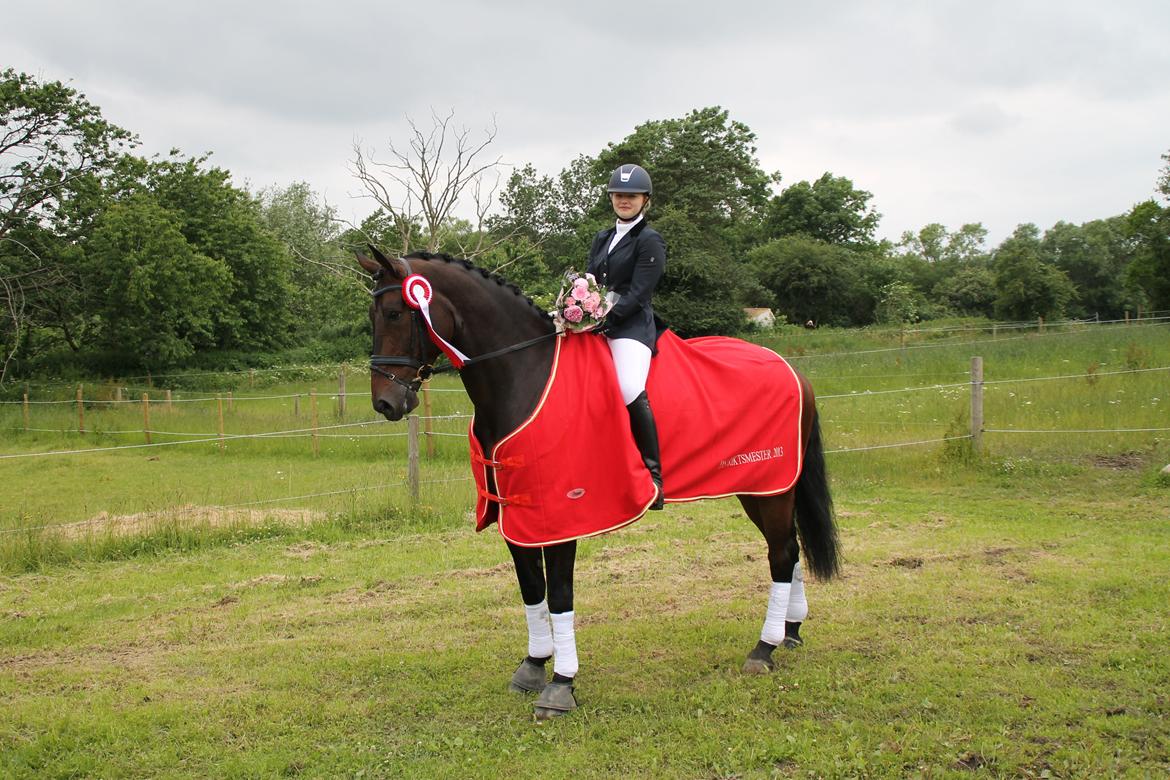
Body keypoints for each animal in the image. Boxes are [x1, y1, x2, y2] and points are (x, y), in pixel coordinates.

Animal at [358, 249, 842, 720]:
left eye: (397, 314)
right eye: (373, 315)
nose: (385, 402)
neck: (526, 374)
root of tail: (789, 368)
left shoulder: (561, 518)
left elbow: (560, 597)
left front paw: (560, 686)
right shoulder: (516, 516)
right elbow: (531, 590)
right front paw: (533, 665)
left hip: (772, 487)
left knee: (781, 553)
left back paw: (763, 649)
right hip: (761, 488)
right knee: (789, 548)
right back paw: (790, 632)